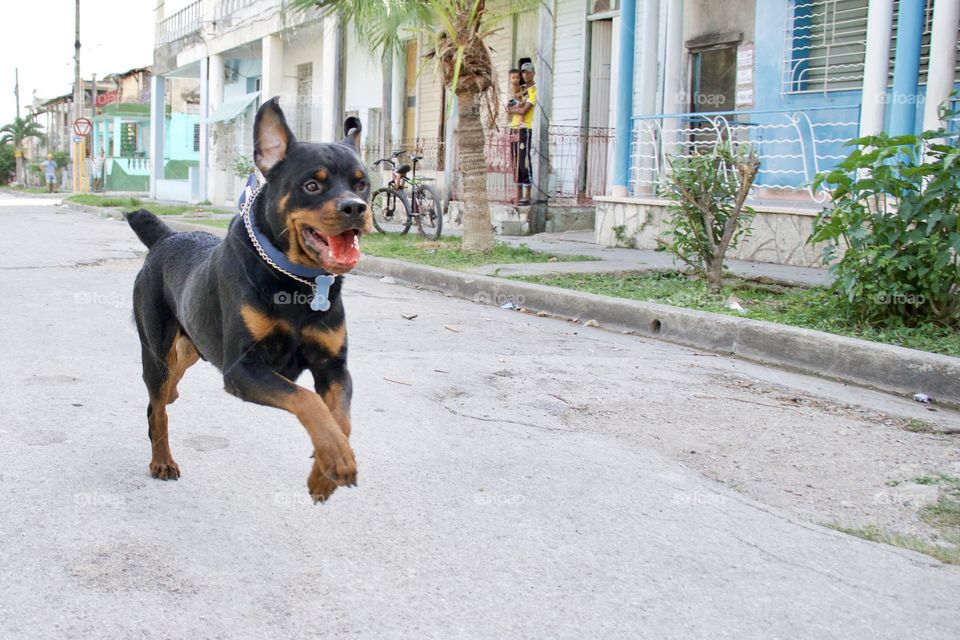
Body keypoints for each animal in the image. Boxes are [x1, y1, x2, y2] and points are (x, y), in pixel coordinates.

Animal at [124, 97, 372, 502]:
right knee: (156, 407)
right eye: (312, 185)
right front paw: (335, 459)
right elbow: (307, 400)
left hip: (195, 342)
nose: (355, 208)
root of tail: (166, 237)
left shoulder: (334, 366)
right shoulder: (242, 368)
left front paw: (325, 469)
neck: (297, 281)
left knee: (175, 376)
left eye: (362, 184)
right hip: (155, 348)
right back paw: (162, 460)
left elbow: (341, 418)